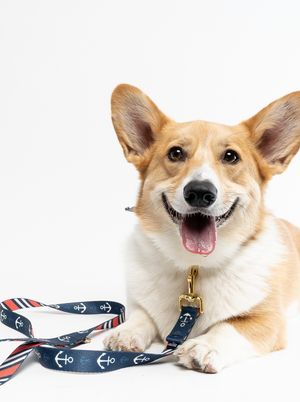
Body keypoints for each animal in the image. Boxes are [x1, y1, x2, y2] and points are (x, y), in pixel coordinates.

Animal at [103, 85, 300, 374]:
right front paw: (126, 332)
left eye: (231, 156)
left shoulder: (269, 319)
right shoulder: (138, 303)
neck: (194, 266)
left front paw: (206, 346)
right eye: (175, 153)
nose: (199, 192)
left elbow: (229, 326)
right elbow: (142, 314)